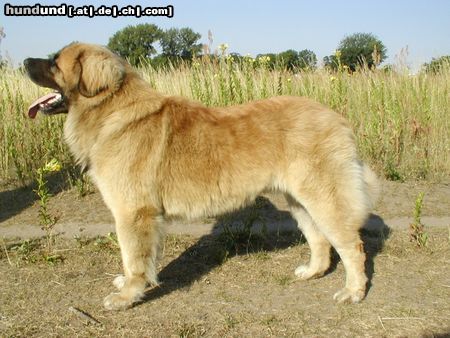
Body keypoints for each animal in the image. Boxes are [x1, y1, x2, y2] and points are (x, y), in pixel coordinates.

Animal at [22, 43, 378, 312]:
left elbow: (133, 257)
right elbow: (138, 258)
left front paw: (127, 296)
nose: (24, 60)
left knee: (352, 246)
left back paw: (354, 291)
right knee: (319, 239)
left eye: (54, 61)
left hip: (323, 198)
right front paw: (131, 283)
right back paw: (312, 272)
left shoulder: (133, 213)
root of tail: (337, 118)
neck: (111, 109)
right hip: (299, 200)